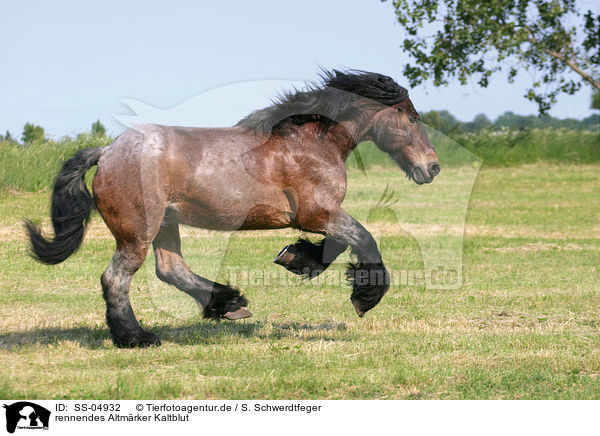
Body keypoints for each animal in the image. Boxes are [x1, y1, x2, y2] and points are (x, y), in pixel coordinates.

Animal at [24, 70, 440, 348]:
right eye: (412, 118)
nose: (432, 167)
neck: (309, 143)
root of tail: (107, 151)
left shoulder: (319, 217)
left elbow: (337, 246)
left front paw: (296, 258)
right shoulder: (317, 213)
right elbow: (364, 239)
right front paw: (363, 297)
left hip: (165, 224)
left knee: (170, 269)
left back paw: (229, 304)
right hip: (138, 232)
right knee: (116, 279)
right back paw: (136, 336)